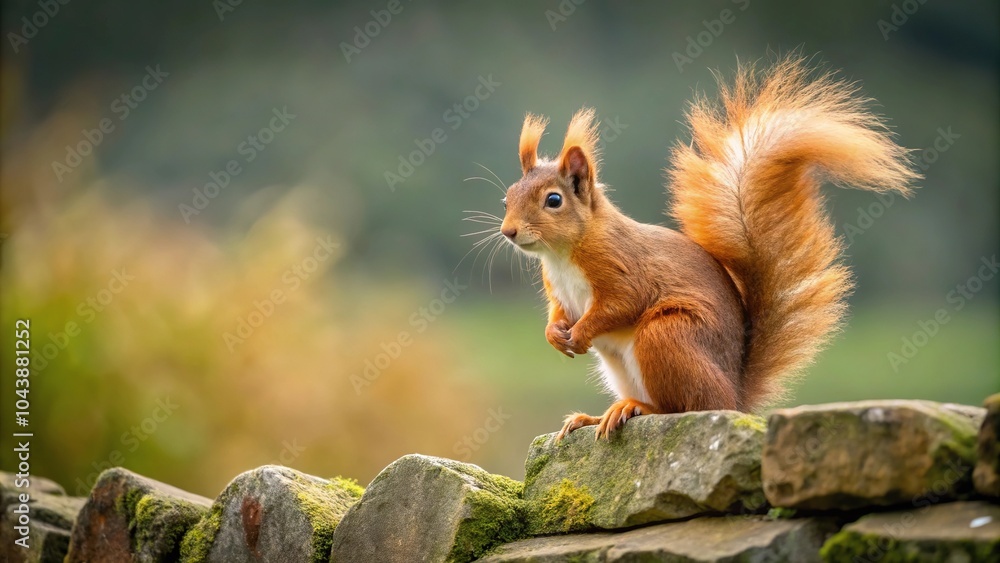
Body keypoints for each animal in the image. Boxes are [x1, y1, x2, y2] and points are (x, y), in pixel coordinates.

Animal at [497, 56, 919, 440]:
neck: (562, 254)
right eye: (506, 198)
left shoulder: (622, 267)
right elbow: (559, 313)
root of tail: (734, 399)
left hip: (668, 335)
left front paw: (582, 332)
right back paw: (593, 416)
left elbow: (623, 303)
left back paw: (635, 408)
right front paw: (554, 334)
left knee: (680, 407)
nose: (508, 232)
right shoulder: (558, 291)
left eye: (554, 200)